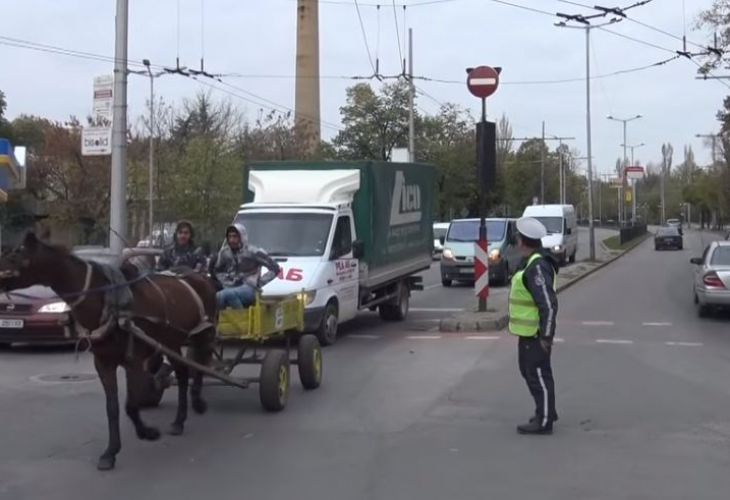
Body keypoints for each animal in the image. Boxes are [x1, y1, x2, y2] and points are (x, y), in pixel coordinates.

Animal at [0, 232, 216, 470]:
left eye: (15, 258)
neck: (109, 303)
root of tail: (200, 276)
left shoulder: (134, 361)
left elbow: (130, 405)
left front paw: (147, 432)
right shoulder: (103, 362)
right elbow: (112, 408)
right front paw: (110, 452)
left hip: (203, 333)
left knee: (199, 365)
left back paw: (197, 403)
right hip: (171, 341)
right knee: (183, 372)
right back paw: (179, 420)